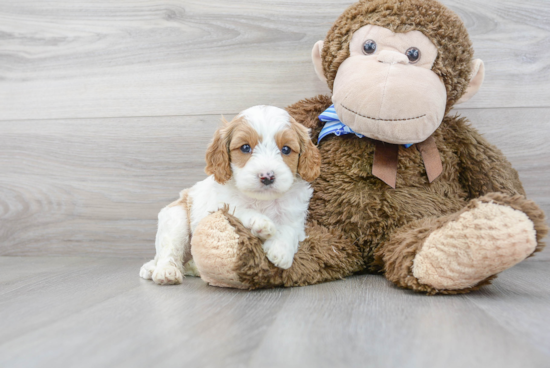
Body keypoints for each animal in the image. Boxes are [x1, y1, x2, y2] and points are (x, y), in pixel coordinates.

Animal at [139, 105, 324, 286]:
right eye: (245, 148)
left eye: (286, 149)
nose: (267, 176)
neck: (262, 201)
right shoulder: (219, 205)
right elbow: (239, 209)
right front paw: (260, 223)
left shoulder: (296, 215)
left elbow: (289, 228)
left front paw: (281, 250)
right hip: (175, 218)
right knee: (169, 250)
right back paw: (165, 271)